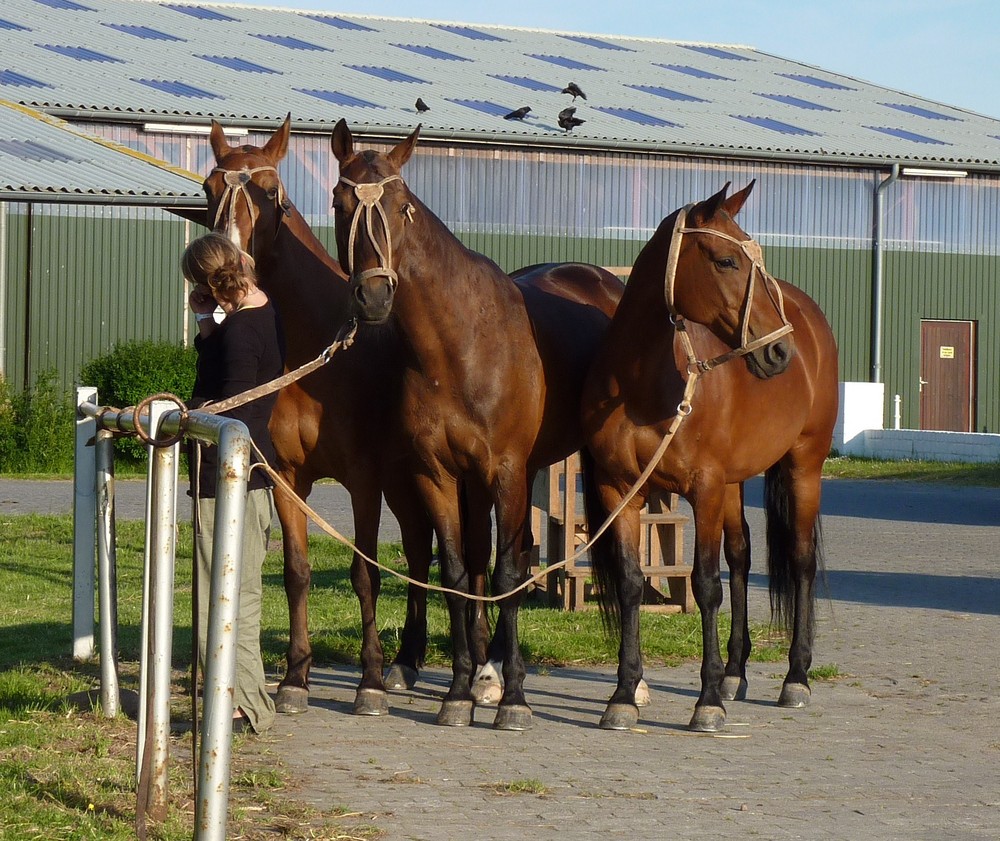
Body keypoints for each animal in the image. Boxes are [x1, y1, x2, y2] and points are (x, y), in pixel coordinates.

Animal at [332, 120, 620, 728]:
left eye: (401, 206)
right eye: (340, 204)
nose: (374, 296)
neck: (458, 345)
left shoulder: (505, 470)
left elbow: (507, 575)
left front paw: (513, 699)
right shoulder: (437, 474)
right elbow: (457, 573)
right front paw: (461, 690)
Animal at [584, 182, 840, 728]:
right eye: (726, 260)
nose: (780, 353)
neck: (645, 382)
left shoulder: (702, 488)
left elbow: (705, 585)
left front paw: (705, 703)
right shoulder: (620, 490)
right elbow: (632, 582)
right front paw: (623, 695)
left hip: (803, 467)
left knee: (802, 560)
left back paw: (796, 677)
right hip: (733, 483)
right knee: (741, 556)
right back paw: (735, 673)